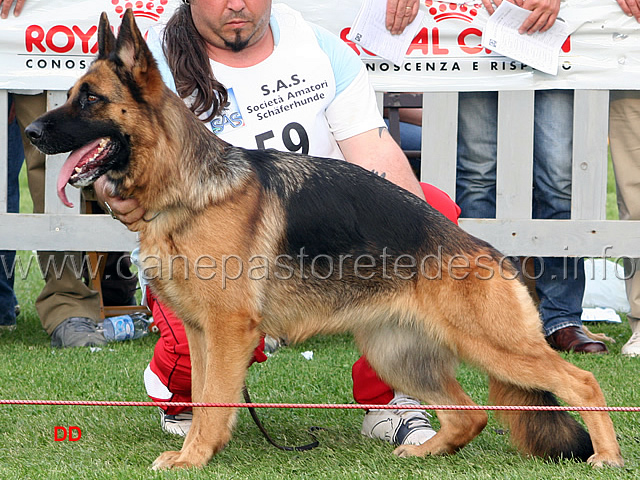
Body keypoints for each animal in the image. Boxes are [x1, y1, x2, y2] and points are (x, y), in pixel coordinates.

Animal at [27, 9, 624, 470]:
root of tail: (487, 251)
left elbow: (215, 400)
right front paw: (199, 447)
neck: (187, 184)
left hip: (495, 347)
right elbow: (205, 397)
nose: (31, 132)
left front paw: (195, 457)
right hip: (398, 354)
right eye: (70, 95)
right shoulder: (200, 333)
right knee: (471, 413)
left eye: (89, 100)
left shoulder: (227, 329)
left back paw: (607, 456)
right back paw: (426, 450)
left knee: (583, 384)